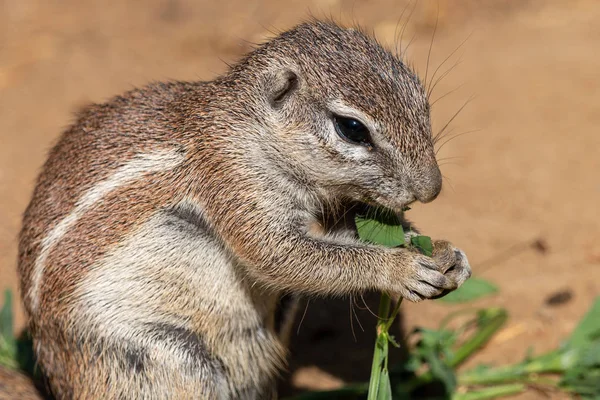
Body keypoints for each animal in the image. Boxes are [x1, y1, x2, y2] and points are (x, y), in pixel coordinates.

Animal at [14, 20, 472, 398]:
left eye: (422, 98)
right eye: (352, 128)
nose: (431, 189)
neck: (250, 130)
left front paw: (444, 254)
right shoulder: (235, 182)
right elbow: (280, 255)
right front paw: (401, 268)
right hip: (160, 359)